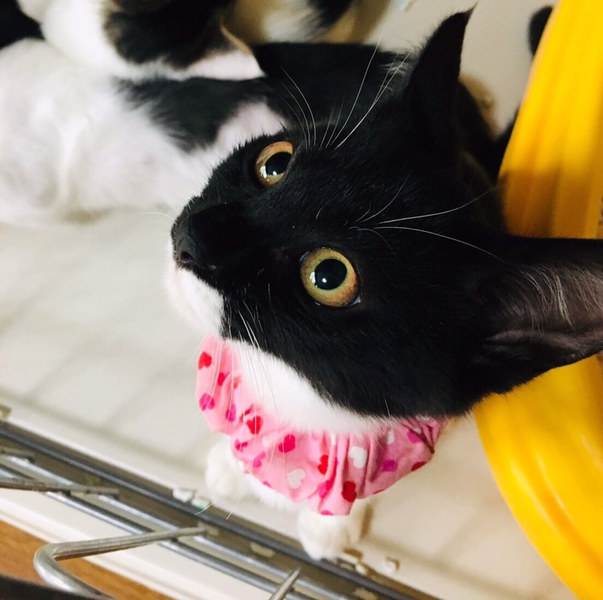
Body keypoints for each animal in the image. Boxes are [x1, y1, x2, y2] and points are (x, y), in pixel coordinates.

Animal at [2, 0, 602, 559]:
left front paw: (330, 527)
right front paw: (232, 468)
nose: (193, 235)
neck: (292, 394)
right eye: (275, 162)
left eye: (330, 274)